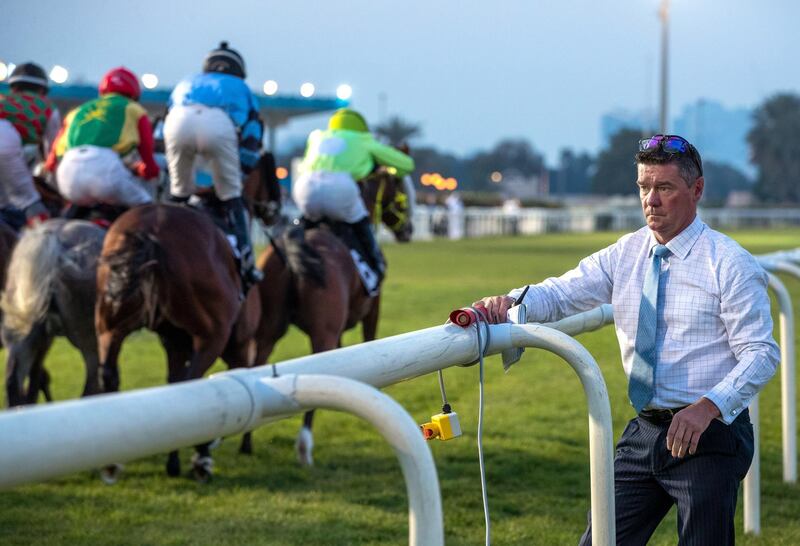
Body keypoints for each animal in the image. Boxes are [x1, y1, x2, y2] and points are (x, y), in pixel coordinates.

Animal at [93, 151, 278, 478]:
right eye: (276, 176)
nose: (275, 211)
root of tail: (150, 232)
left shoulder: (174, 341)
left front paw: (175, 459)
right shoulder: (238, 343)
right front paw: (203, 451)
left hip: (108, 327)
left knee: (110, 375)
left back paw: (113, 461)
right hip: (212, 335)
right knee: (193, 381)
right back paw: (201, 455)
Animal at [252, 167, 412, 464]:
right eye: (401, 190)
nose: (407, 230)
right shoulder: (372, 308)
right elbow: (368, 341)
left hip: (268, 331)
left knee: (257, 365)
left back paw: (243, 443)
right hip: (320, 333)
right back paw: (304, 446)